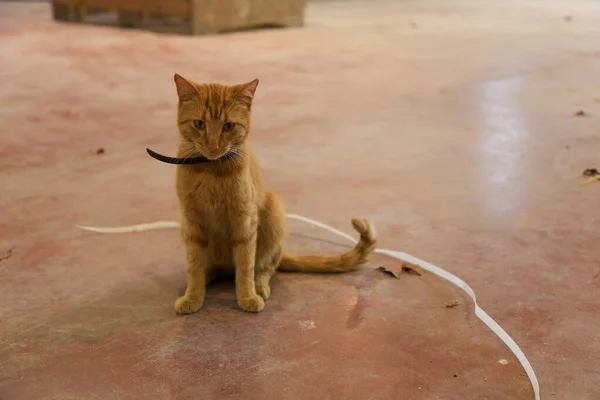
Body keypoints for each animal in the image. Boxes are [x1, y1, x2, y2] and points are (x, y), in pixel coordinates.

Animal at [172, 73, 376, 314]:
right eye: (199, 124)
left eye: (228, 126)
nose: (213, 147)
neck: (210, 171)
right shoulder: (192, 223)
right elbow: (194, 266)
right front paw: (193, 295)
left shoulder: (245, 223)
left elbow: (245, 267)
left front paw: (247, 296)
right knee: (216, 268)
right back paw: (206, 277)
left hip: (274, 211)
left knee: (265, 267)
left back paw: (258, 286)